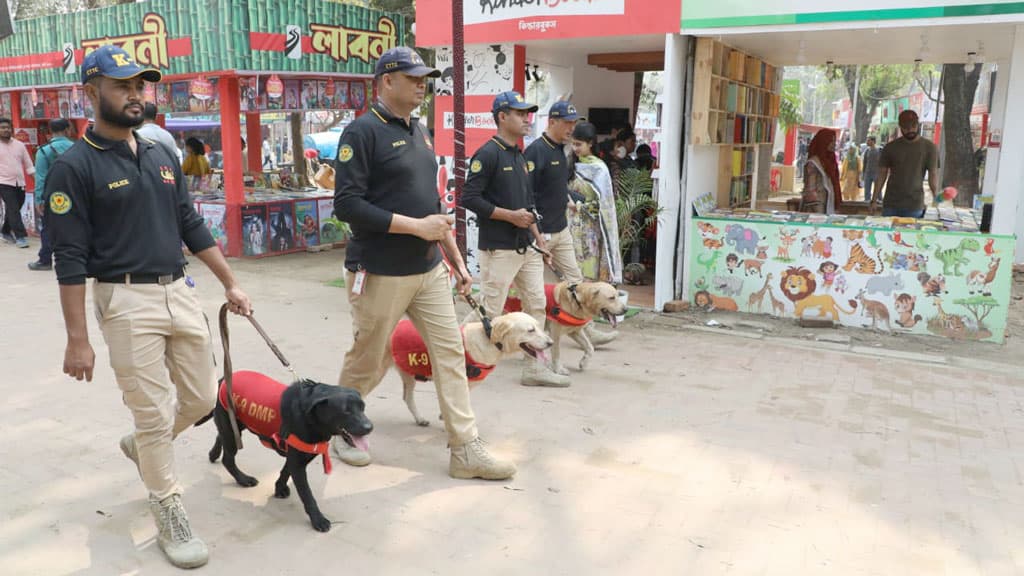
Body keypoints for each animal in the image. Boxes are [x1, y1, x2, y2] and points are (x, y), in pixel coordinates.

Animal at [195, 368, 372, 532]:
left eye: (363, 407)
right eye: (346, 410)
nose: (369, 427)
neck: (309, 417)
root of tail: (223, 379)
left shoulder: (296, 457)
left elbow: (285, 471)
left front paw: (279, 488)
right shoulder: (298, 464)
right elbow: (307, 495)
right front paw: (318, 519)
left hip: (234, 426)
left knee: (220, 436)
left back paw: (214, 454)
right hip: (232, 429)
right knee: (228, 459)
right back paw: (243, 479)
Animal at [385, 311, 552, 424]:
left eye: (539, 326)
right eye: (530, 330)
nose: (551, 343)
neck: (489, 339)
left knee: (406, 397)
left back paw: (419, 419)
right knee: (407, 397)